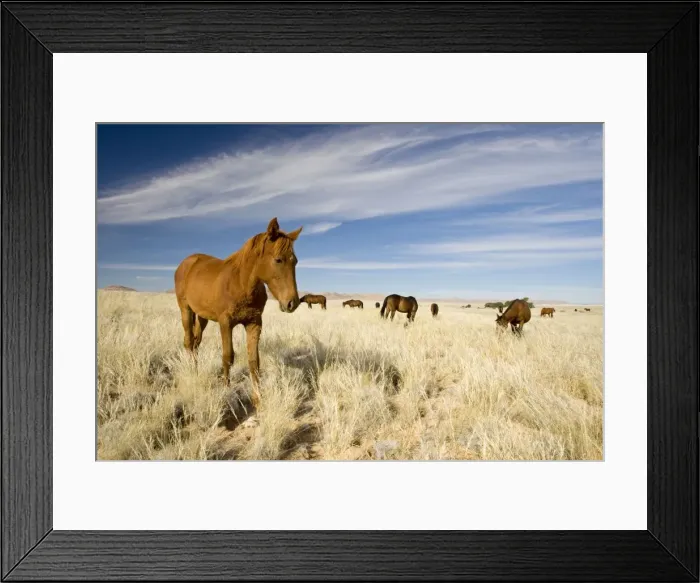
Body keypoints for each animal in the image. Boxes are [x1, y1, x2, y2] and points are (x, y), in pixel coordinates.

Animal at [174, 217, 302, 407]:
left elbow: (254, 361)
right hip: (186, 310)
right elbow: (228, 356)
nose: (292, 303)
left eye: (295, 261)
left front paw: (258, 397)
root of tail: (186, 263)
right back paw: (192, 372)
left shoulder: (254, 323)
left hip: (203, 317)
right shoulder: (225, 323)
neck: (241, 283)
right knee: (189, 342)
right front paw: (227, 390)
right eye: (278, 260)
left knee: (196, 343)